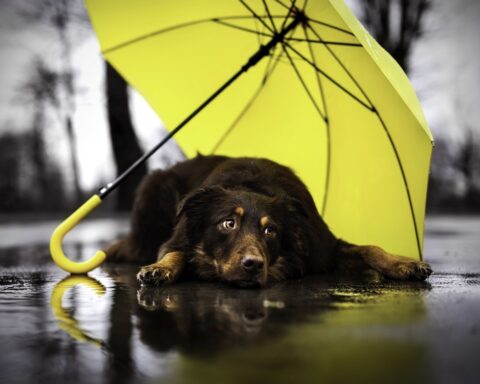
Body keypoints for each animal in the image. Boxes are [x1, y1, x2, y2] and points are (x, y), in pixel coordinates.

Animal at [107, 154, 434, 286]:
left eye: (271, 230)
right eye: (228, 223)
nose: (253, 265)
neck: (254, 186)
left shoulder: (324, 248)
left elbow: (370, 248)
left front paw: (403, 263)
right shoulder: (179, 235)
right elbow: (173, 252)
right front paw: (160, 269)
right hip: (154, 187)